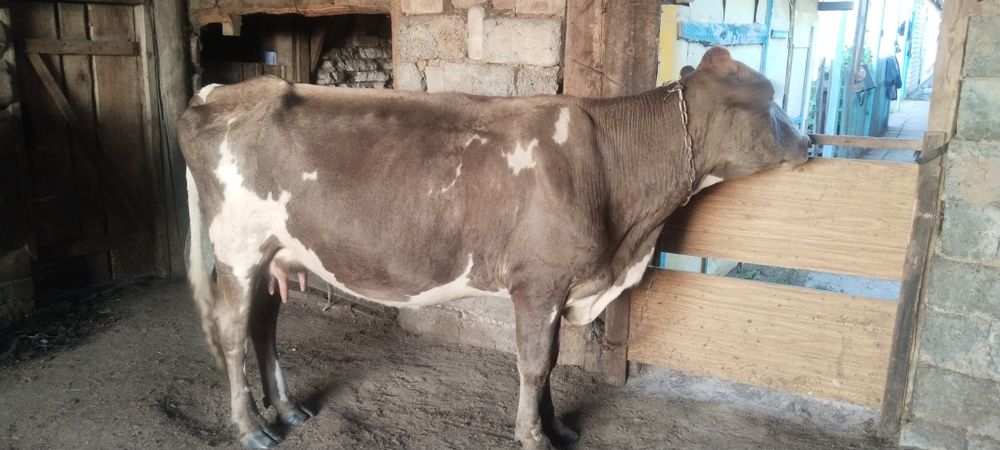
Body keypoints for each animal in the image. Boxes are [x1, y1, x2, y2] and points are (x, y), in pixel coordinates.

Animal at [177, 46, 810, 449]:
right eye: (766, 99)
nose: (808, 141)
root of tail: (225, 89)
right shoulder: (539, 281)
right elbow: (534, 363)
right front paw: (533, 436)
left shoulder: (560, 287)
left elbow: (548, 363)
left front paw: (558, 429)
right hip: (237, 249)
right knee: (232, 332)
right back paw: (251, 428)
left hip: (276, 253)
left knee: (264, 326)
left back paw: (287, 409)